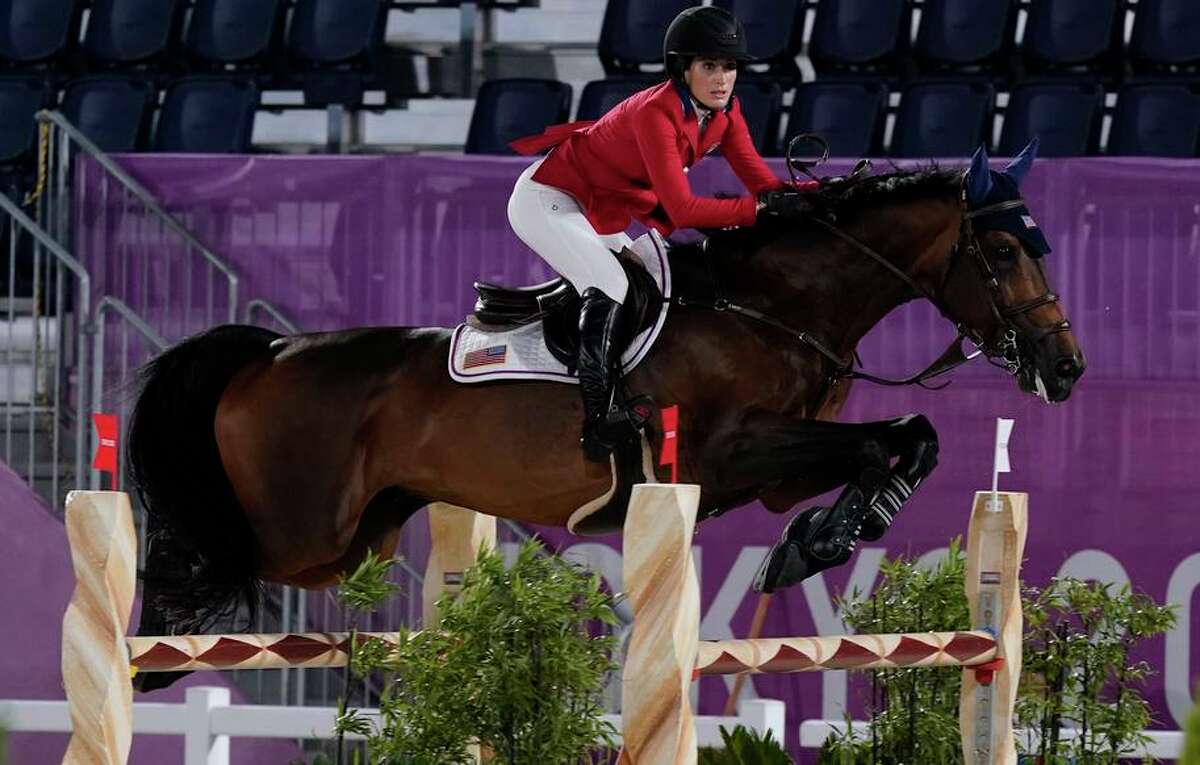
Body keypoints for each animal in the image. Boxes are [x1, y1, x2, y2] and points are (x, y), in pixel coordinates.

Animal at [126, 143, 1084, 671]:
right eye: (1005, 250)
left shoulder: (768, 468)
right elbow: (880, 444)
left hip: (363, 533)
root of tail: (268, 353)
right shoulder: (727, 456)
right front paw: (811, 546)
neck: (774, 305)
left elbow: (908, 439)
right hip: (302, 532)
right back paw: (152, 654)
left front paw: (819, 537)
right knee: (195, 549)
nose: (1066, 367)